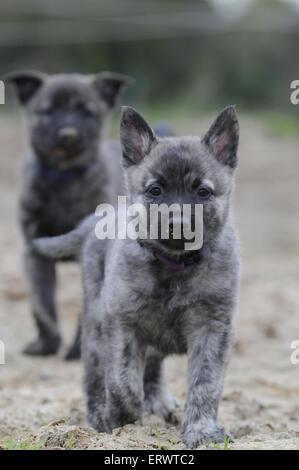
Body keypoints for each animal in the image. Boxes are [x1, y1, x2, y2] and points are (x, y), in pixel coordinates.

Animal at [5, 70, 132, 358]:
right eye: (48, 111)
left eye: (87, 112)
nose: (68, 135)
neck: (65, 176)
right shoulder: (35, 252)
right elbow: (42, 304)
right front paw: (46, 343)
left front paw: (75, 349)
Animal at [32, 106, 241, 448]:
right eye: (155, 190)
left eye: (203, 191)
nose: (178, 224)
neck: (174, 266)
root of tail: (93, 221)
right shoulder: (124, 326)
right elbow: (122, 382)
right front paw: (123, 423)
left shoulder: (212, 328)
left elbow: (205, 384)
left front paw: (202, 431)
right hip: (94, 329)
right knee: (95, 377)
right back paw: (98, 418)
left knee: (153, 368)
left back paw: (159, 402)